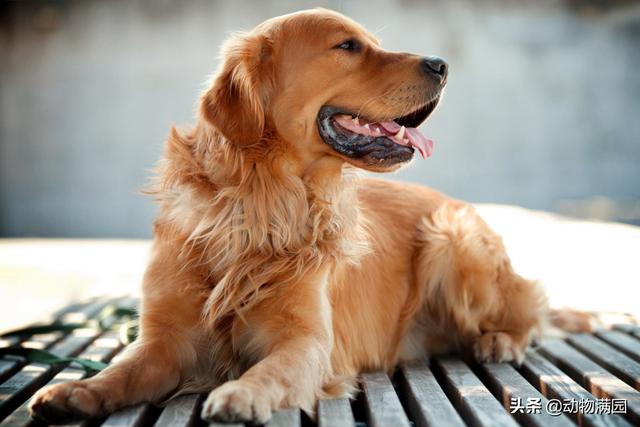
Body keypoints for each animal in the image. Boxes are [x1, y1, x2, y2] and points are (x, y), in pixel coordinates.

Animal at [30, 7, 548, 424]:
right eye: (347, 46)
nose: (442, 65)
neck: (260, 202)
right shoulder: (165, 339)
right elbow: (123, 369)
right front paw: (77, 390)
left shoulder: (305, 341)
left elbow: (272, 369)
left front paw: (241, 393)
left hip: (454, 244)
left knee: (529, 307)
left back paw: (500, 341)